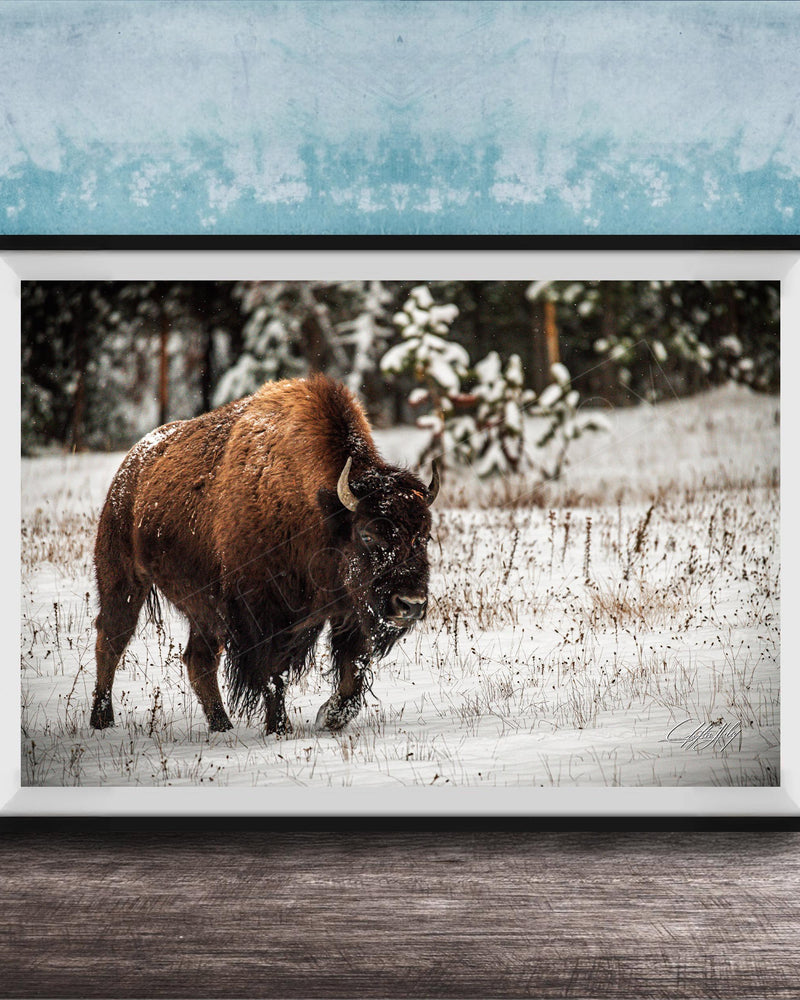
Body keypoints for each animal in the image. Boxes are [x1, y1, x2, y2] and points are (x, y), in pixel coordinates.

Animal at [90, 374, 438, 735]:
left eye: (424, 536)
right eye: (367, 534)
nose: (410, 604)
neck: (321, 511)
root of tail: (130, 469)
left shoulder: (350, 612)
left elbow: (352, 673)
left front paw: (328, 717)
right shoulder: (261, 615)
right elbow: (274, 674)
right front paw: (280, 728)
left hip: (203, 609)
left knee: (198, 661)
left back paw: (222, 725)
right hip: (124, 581)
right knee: (110, 641)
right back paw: (102, 720)